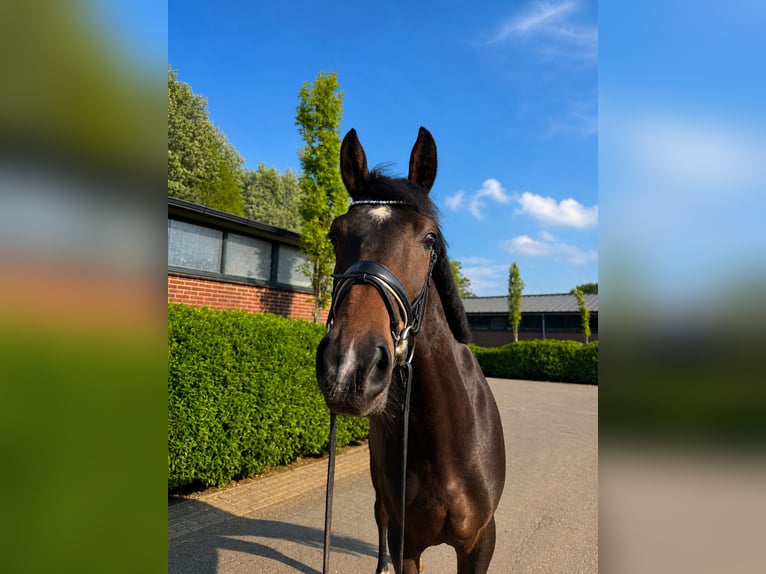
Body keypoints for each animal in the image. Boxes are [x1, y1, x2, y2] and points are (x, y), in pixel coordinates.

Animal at [316, 127, 506, 574]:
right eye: (335, 233)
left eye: (429, 238)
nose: (349, 366)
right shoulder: (409, 546)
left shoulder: (480, 542)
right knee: (379, 515)